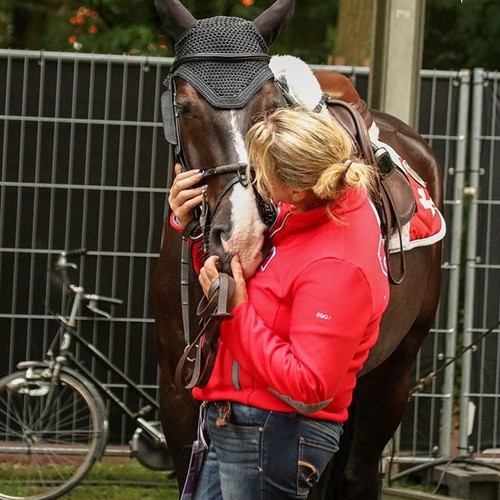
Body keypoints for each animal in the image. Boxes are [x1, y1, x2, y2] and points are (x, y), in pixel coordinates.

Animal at [153, 1, 446, 498]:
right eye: (186, 107)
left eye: (270, 107)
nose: (242, 235)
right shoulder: (176, 391)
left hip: (393, 372)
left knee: (359, 472)